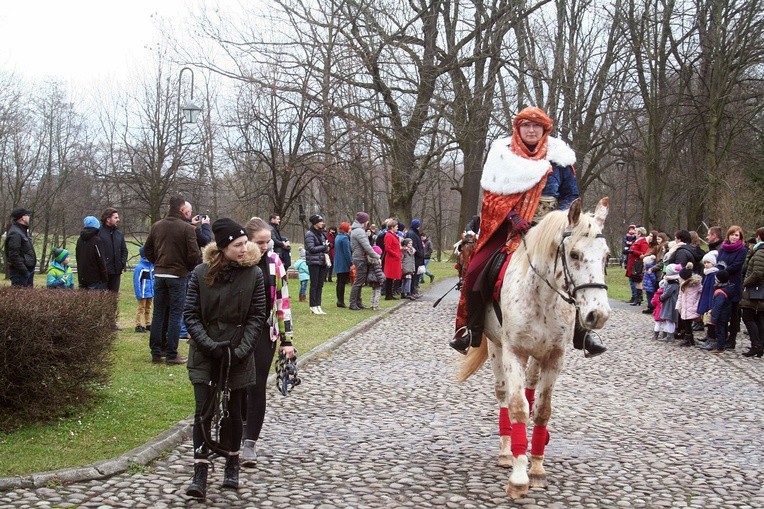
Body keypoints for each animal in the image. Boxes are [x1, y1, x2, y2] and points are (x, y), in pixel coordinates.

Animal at [456, 196, 612, 498]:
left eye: (607, 256)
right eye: (574, 255)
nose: (597, 315)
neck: (544, 296)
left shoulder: (554, 357)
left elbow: (541, 410)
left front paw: (537, 468)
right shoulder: (513, 351)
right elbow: (517, 407)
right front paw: (518, 477)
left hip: (536, 357)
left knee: (531, 391)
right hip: (496, 347)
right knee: (504, 394)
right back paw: (507, 452)